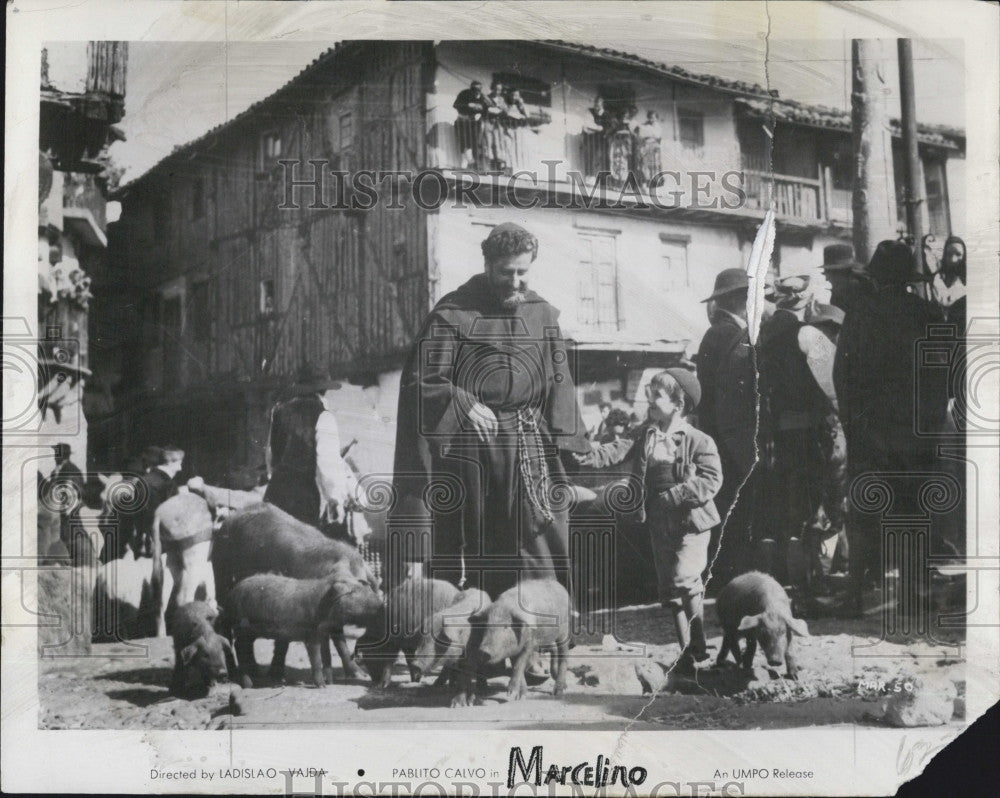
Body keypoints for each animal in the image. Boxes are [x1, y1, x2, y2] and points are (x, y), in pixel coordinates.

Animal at [454, 580, 572, 708]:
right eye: (486, 626)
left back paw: (559, 692)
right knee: (554, 649)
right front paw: (520, 697)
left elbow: (519, 664)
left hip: (564, 631)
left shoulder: (530, 641)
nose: (484, 652)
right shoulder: (513, 649)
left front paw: (510, 694)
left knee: (564, 656)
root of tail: (560, 586)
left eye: (506, 626)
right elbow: (516, 665)